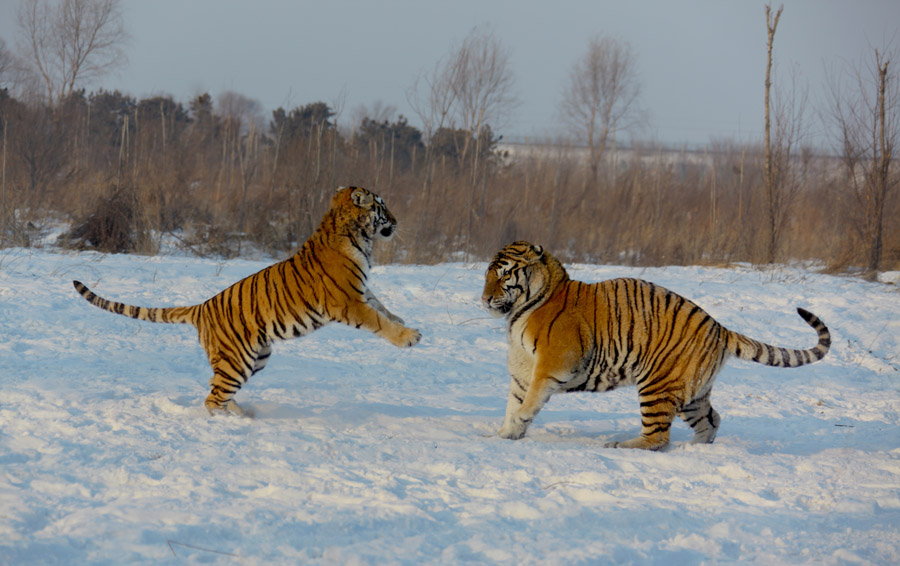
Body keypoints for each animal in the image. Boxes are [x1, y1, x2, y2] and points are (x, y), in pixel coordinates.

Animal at [72, 186, 420, 418]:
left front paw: (404, 321)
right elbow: (378, 320)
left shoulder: (362, 292)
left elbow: (383, 308)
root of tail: (201, 307)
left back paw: (241, 414)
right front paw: (408, 337)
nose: (397, 220)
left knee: (215, 388)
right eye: (381, 206)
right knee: (212, 399)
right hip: (237, 361)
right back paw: (230, 422)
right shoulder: (348, 301)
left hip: (256, 357)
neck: (358, 235)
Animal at [486, 243, 828, 452]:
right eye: (487, 274)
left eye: (505, 274)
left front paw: (517, 423)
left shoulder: (553, 362)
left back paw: (618, 445)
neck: (520, 311)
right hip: (693, 392)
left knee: (658, 437)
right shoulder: (523, 367)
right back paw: (694, 449)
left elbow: (530, 399)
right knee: (712, 420)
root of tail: (720, 328)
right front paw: (505, 434)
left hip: (657, 385)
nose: (485, 298)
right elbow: (515, 400)